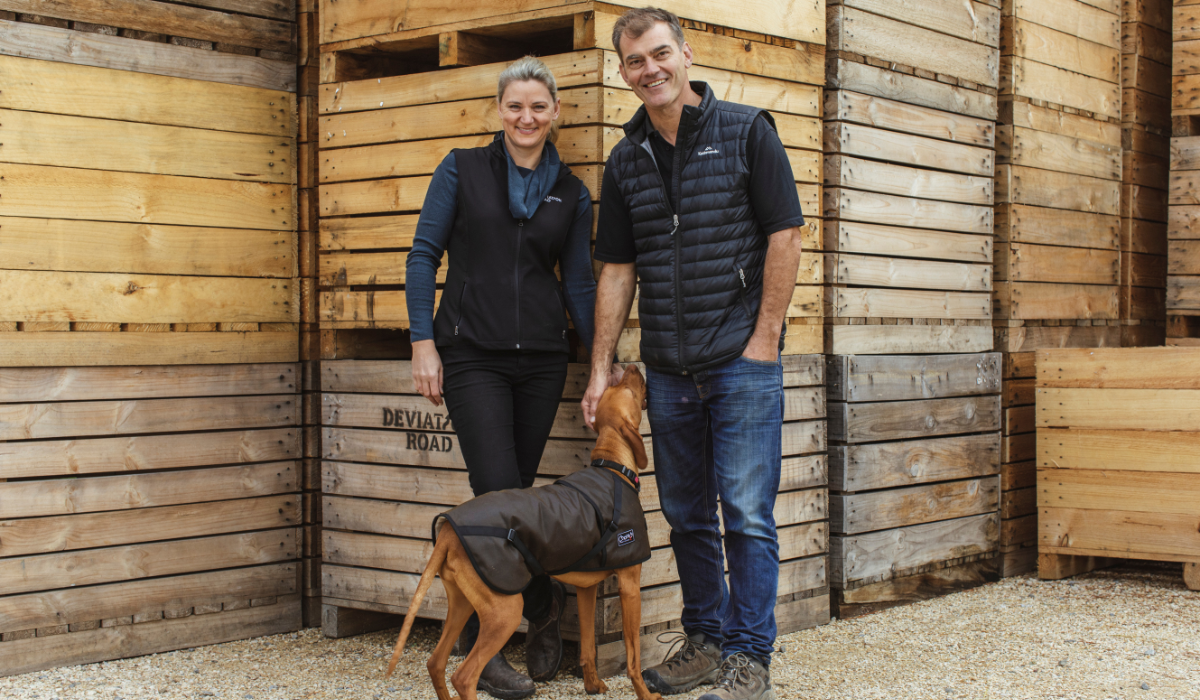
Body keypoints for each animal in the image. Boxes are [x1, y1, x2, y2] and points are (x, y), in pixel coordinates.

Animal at [384, 367, 662, 700]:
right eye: (628, 389)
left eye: (614, 386)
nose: (631, 367)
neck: (612, 466)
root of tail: (450, 529)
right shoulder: (630, 585)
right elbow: (633, 657)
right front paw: (645, 693)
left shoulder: (586, 588)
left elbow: (588, 648)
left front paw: (592, 685)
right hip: (505, 610)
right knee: (463, 676)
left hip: (463, 604)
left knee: (435, 663)